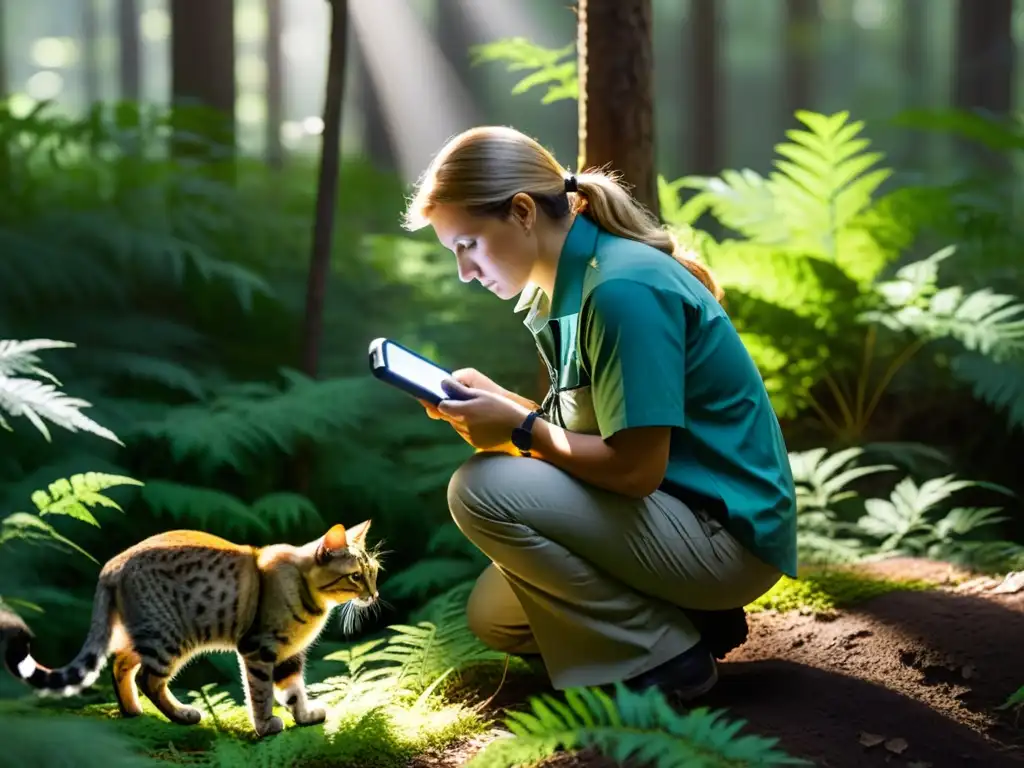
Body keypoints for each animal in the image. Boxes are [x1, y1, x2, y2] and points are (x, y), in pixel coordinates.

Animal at [0, 520, 380, 737]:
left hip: (144, 634)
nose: (374, 595)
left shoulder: (289, 655)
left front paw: (303, 716)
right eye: (355, 576)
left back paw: (131, 711)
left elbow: (294, 691)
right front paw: (266, 727)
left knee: (121, 664)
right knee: (148, 679)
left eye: (374, 572)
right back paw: (181, 715)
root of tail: (112, 565)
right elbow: (261, 695)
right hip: (171, 637)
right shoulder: (258, 649)